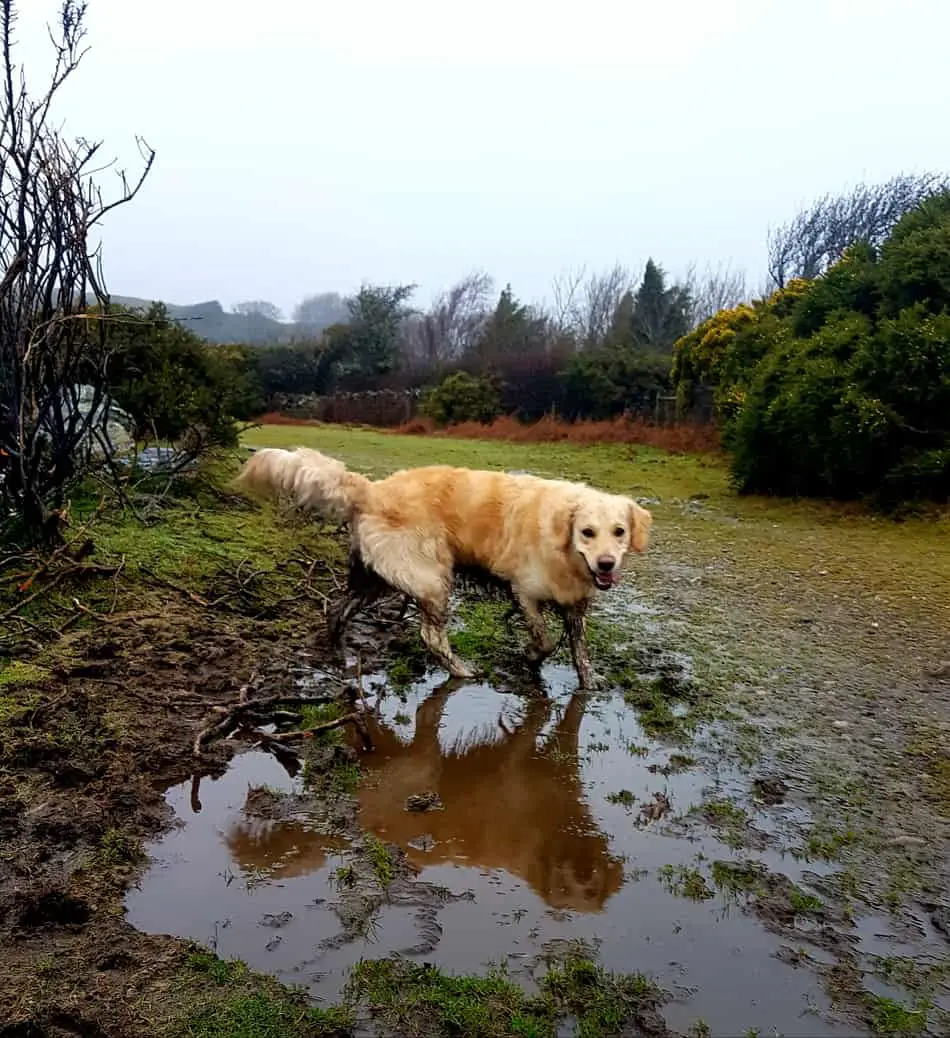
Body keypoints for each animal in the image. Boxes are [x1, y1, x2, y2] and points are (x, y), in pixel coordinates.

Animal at [234, 446, 652, 689]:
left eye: (619, 531)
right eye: (587, 532)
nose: (606, 564)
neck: (563, 544)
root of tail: (371, 489)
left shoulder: (575, 604)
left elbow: (580, 649)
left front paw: (589, 682)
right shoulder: (525, 592)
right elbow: (546, 639)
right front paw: (531, 656)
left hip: (374, 580)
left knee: (338, 610)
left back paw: (338, 651)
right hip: (432, 578)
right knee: (430, 636)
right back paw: (461, 670)